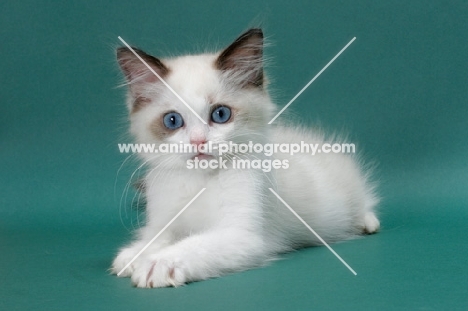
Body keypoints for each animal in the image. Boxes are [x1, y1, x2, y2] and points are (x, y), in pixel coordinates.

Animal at [111, 28, 378, 288]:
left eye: (220, 114)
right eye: (173, 120)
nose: (198, 142)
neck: (200, 180)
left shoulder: (242, 235)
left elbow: (193, 245)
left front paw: (157, 264)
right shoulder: (165, 222)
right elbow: (156, 238)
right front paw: (133, 256)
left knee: (363, 202)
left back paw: (367, 223)